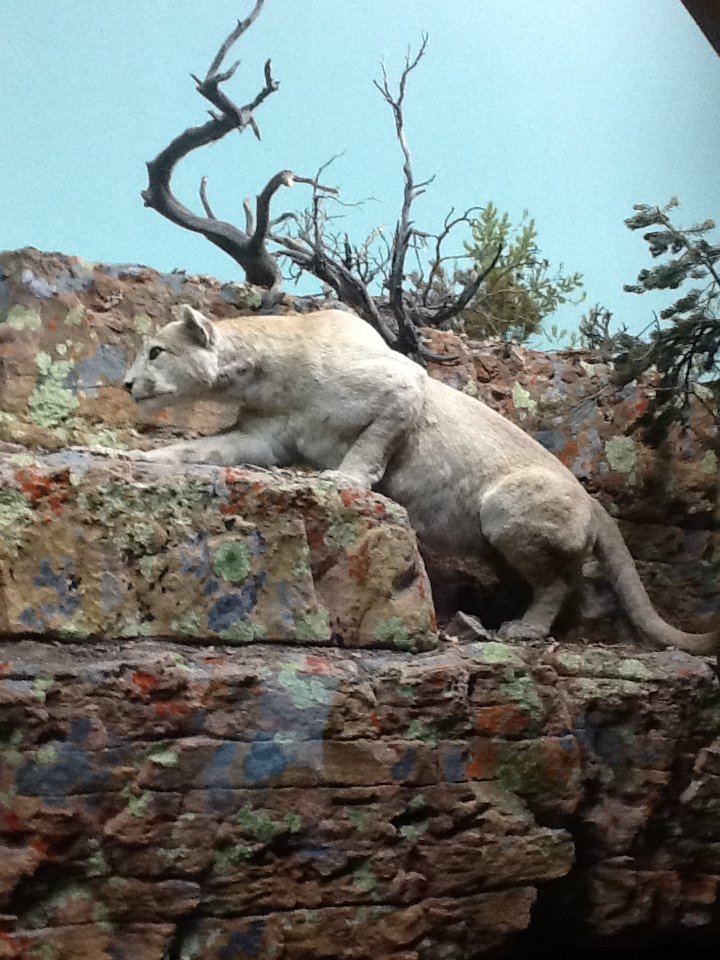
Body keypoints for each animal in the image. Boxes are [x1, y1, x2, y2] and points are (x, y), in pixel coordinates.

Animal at [121, 304, 717, 654]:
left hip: (507, 505)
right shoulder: (262, 436)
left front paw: (344, 479)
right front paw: (133, 454)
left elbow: (371, 443)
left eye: (156, 350)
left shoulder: (401, 384)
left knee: (560, 582)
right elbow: (201, 448)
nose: (126, 383)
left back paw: (522, 630)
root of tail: (595, 504)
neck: (265, 373)